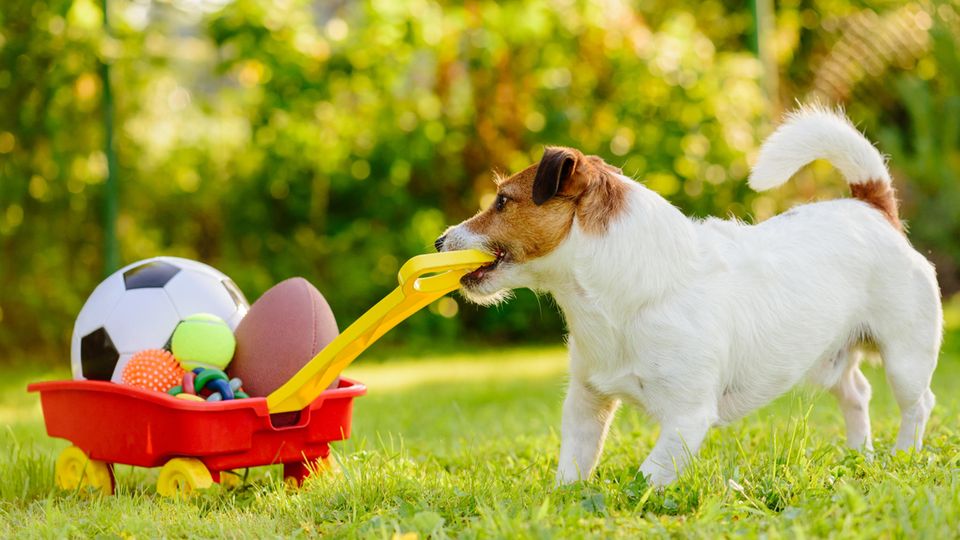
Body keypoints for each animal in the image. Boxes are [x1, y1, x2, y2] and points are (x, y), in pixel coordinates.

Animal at [436, 107, 944, 488]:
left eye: (503, 201)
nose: (440, 241)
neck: (618, 295)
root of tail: (872, 208)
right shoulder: (585, 402)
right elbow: (575, 464)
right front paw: (564, 500)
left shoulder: (687, 417)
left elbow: (648, 475)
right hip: (826, 358)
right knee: (857, 393)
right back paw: (860, 454)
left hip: (906, 357)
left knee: (918, 404)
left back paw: (902, 455)